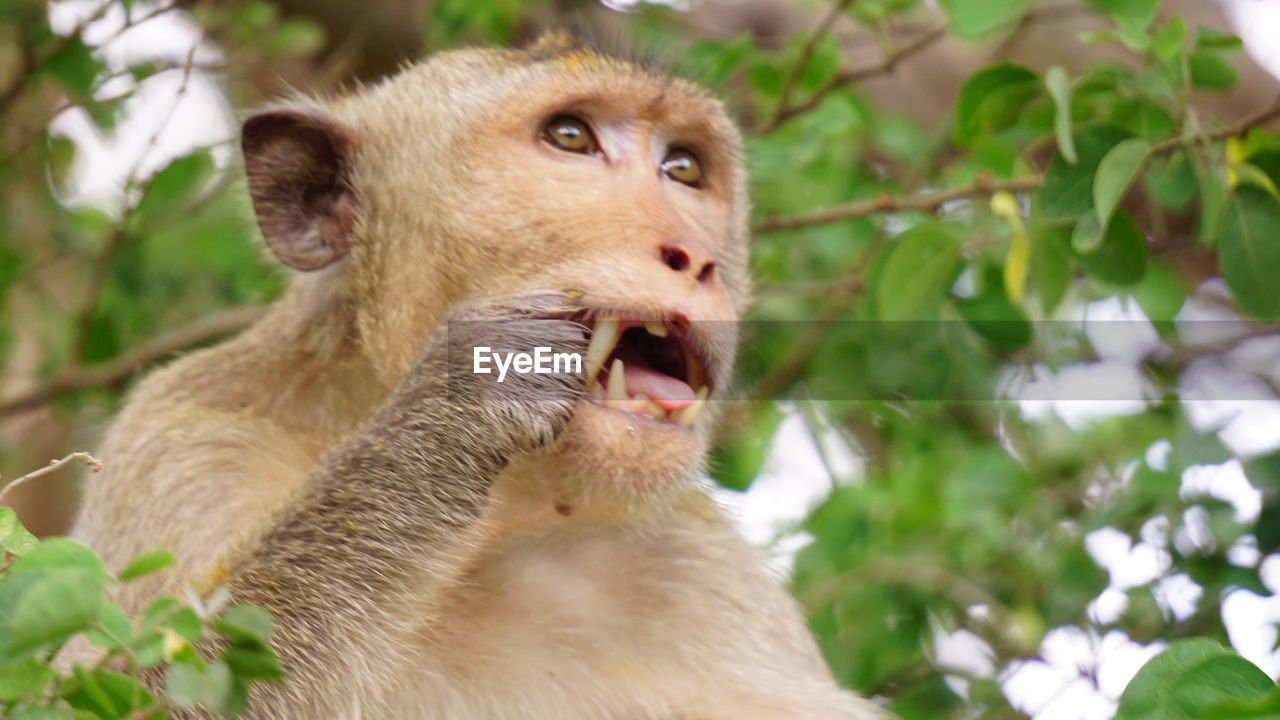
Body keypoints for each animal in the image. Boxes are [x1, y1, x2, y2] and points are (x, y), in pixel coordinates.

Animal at [70, 30, 885, 712]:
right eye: (571, 137)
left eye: (682, 167)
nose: (696, 259)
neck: (495, 518)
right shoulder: (184, 443)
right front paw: (453, 408)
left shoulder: (706, 573)